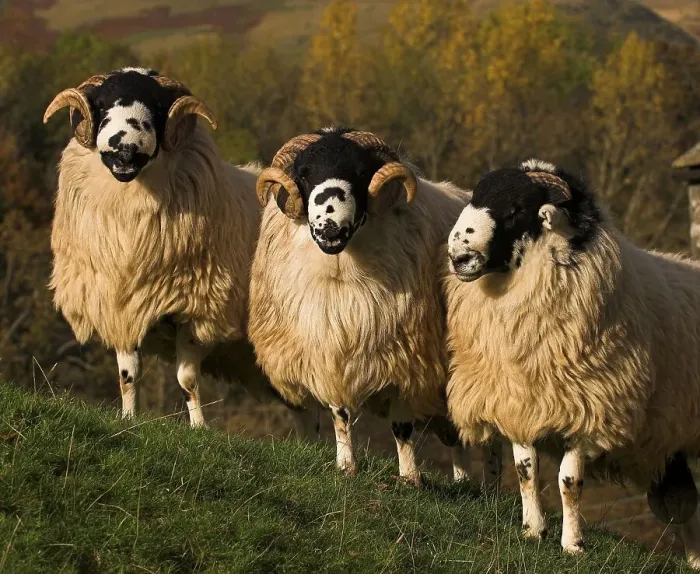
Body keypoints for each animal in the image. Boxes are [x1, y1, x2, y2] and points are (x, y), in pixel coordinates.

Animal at [43, 68, 318, 435]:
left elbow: (187, 380)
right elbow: (128, 375)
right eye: (101, 105)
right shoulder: (121, 304)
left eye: (158, 108)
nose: (124, 150)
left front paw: (199, 429)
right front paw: (128, 419)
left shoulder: (197, 310)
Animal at [249, 127, 501, 486]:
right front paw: (346, 466)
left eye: (360, 172)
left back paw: (491, 488)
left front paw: (410, 478)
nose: (329, 225)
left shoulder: (409, 363)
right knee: (456, 439)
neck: (340, 271)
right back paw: (464, 482)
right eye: (305, 173)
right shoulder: (330, 355)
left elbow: (402, 427)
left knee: (491, 443)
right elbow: (340, 415)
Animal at [443, 158, 700, 568]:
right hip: (668, 444)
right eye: (476, 197)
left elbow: (569, 482)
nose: (459, 257)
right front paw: (533, 530)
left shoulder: (590, 408)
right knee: (683, 507)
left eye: (516, 210)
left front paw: (573, 544)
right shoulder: (520, 402)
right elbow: (526, 471)